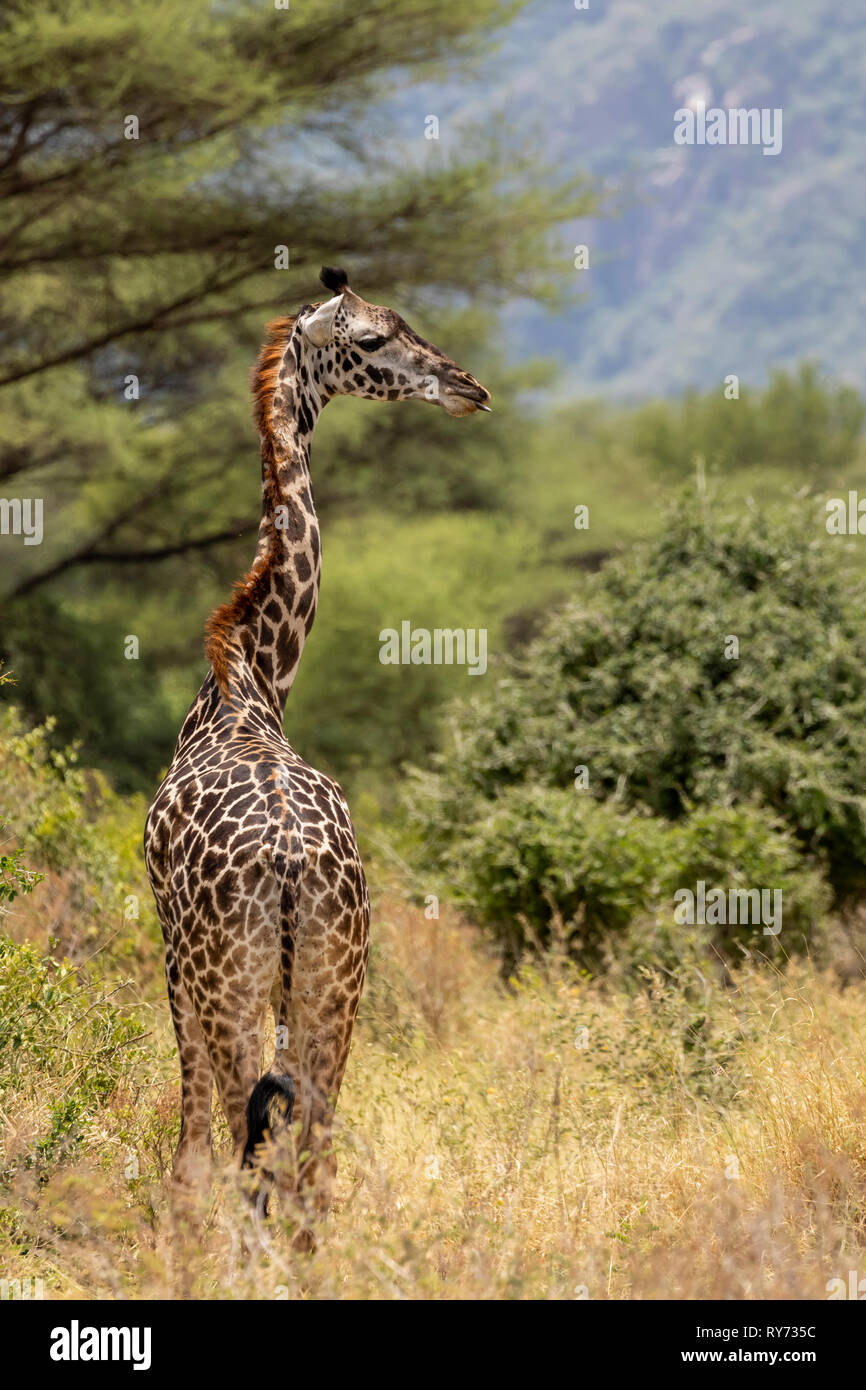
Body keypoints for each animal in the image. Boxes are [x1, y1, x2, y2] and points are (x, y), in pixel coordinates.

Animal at [145, 265, 492, 1223]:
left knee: (245, 1160)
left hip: (233, 981)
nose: (468, 387)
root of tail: (294, 864)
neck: (246, 683)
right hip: (339, 981)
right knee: (314, 1169)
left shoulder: (172, 956)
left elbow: (188, 1162)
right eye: (373, 337)